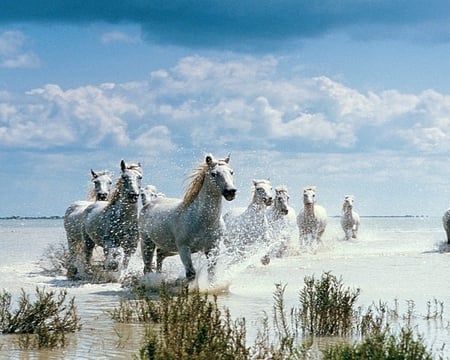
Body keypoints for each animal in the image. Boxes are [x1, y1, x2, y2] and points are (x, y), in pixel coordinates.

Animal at [140, 154, 239, 282]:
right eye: (214, 173)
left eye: (231, 172)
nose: (230, 192)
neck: (202, 220)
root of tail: (148, 204)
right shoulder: (184, 249)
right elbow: (191, 274)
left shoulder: (213, 248)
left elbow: (211, 273)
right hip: (147, 243)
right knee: (147, 267)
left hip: (169, 248)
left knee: (160, 256)